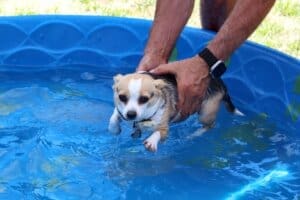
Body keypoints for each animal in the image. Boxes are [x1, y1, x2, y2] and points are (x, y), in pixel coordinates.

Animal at [109, 72, 243, 152]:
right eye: (122, 97)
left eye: (144, 99)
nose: (131, 114)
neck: (144, 118)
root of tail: (221, 83)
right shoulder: (121, 112)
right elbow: (114, 116)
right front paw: (114, 128)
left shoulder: (163, 126)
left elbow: (158, 132)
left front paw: (151, 141)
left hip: (206, 112)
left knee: (210, 125)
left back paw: (195, 134)